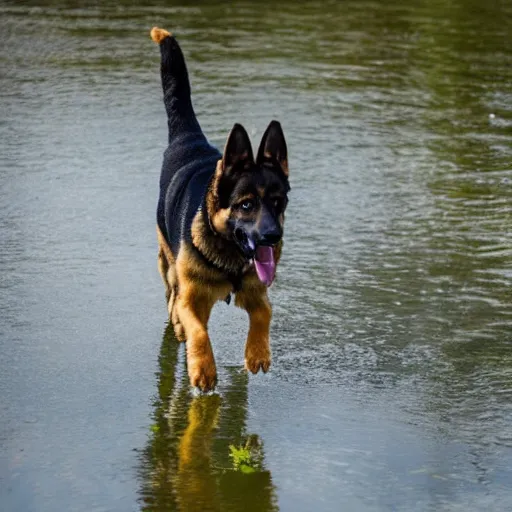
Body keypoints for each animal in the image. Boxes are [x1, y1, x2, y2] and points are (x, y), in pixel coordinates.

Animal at [150, 28, 290, 392]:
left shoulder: (256, 291)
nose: (273, 237)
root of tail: (190, 139)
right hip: (167, 264)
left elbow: (264, 313)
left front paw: (257, 353)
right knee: (172, 299)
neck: (229, 256)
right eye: (246, 204)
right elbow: (198, 329)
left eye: (279, 202)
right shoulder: (191, 296)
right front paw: (203, 369)